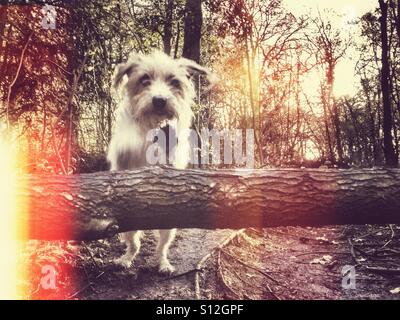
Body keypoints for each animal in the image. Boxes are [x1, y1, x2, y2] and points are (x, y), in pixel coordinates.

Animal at [106, 50, 212, 272]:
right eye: (145, 79)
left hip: (168, 225)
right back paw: (125, 259)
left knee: (161, 248)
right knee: (133, 244)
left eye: (174, 81)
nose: (160, 100)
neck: (153, 124)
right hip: (128, 223)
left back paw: (163, 263)